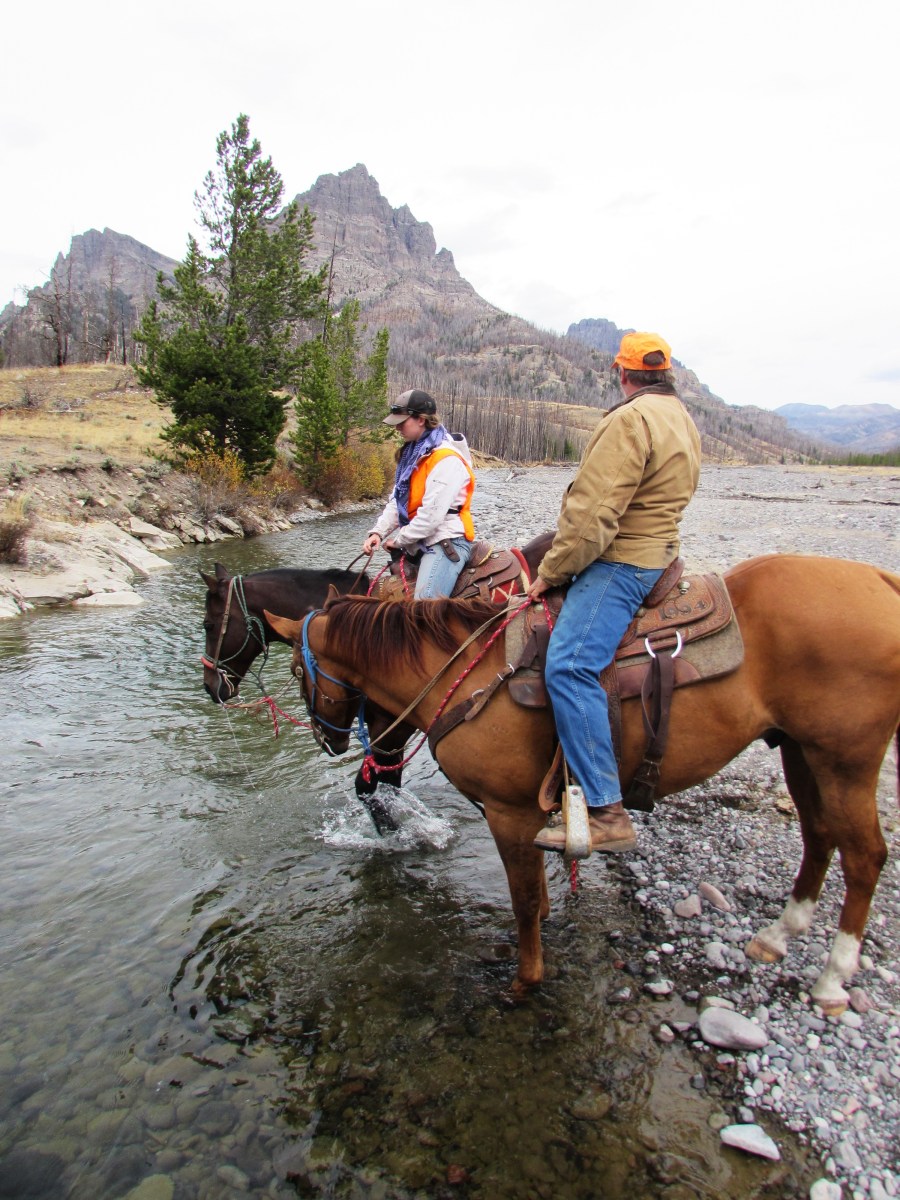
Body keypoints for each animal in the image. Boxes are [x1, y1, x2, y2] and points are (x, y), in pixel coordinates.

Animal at [266, 553, 900, 1014]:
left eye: (297, 669)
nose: (330, 741)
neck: (457, 672)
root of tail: (878, 579)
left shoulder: (509, 811)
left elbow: (522, 900)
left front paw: (524, 981)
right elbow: (535, 894)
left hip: (844, 761)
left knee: (865, 855)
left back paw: (831, 979)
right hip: (800, 752)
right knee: (819, 839)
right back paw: (778, 935)